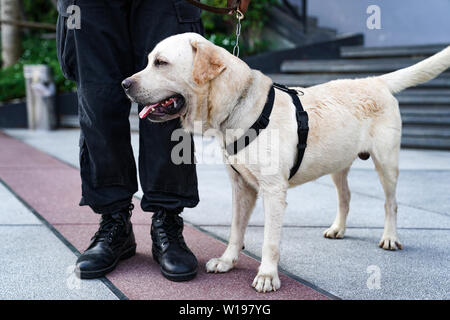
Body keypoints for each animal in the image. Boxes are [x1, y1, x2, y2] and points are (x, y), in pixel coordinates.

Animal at [123, 33, 450, 292]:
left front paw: (267, 276)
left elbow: (270, 239)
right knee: (345, 196)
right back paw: (338, 228)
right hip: (338, 163)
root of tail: (374, 81)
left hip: (387, 162)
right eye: (149, 60)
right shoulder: (241, 187)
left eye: (161, 63)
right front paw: (228, 261)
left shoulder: (273, 191)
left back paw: (390, 237)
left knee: (390, 203)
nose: (125, 83)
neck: (238, 104)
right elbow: (235, 230)